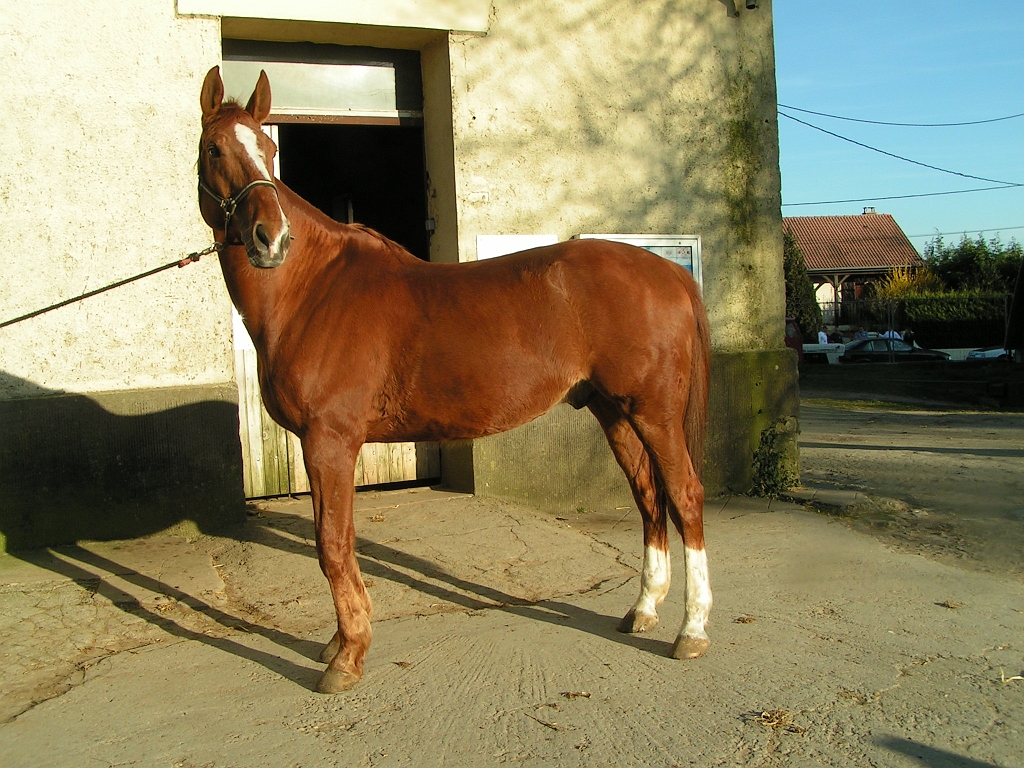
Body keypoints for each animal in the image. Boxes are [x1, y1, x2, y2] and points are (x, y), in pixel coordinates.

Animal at [197, 66, 712, 693]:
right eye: (214, 148)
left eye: (268, 152)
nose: (271, 238)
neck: (313, 289)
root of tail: (668, 272)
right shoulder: (318, 446)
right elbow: (335, 542)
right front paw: (339, 644)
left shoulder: (331, 443)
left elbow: (332, 545)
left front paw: (347, 657)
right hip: (614, 412)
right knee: (648, 497)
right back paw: (642, 611)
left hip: (654, 413)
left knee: (685, 497)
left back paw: (692, 632)